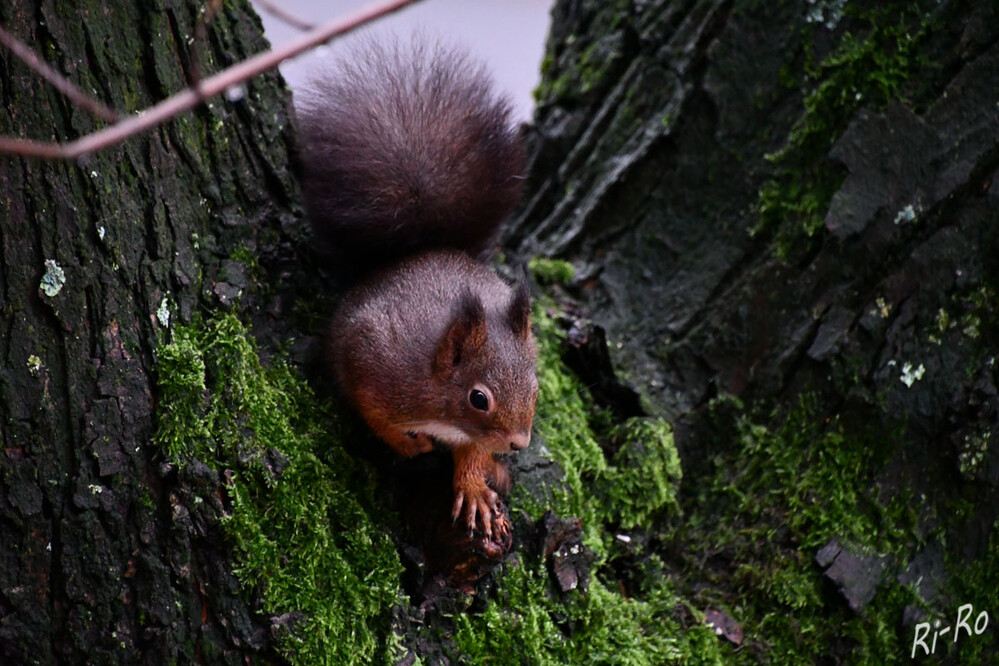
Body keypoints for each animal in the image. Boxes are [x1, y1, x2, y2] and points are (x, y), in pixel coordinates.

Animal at [296, 39, 540, 536]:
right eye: (479, 399)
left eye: (535, 388)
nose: (518, 442)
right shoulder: (374, 362)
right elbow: (371, 413)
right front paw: (407, 444)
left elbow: (471, 453)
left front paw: (474, 485)